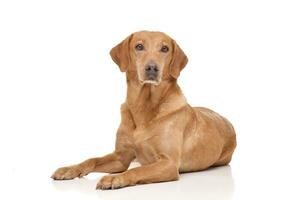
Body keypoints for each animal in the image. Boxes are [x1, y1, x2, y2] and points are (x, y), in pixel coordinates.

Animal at [51, 30, 237, 189]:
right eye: (139, 46)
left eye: (165, 49)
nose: (152, 68)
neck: (143, 106)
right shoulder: (121, 157)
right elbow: (92, 159)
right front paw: (70, 169)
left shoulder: (168, 163)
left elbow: (138, 170)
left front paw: (114, 178)